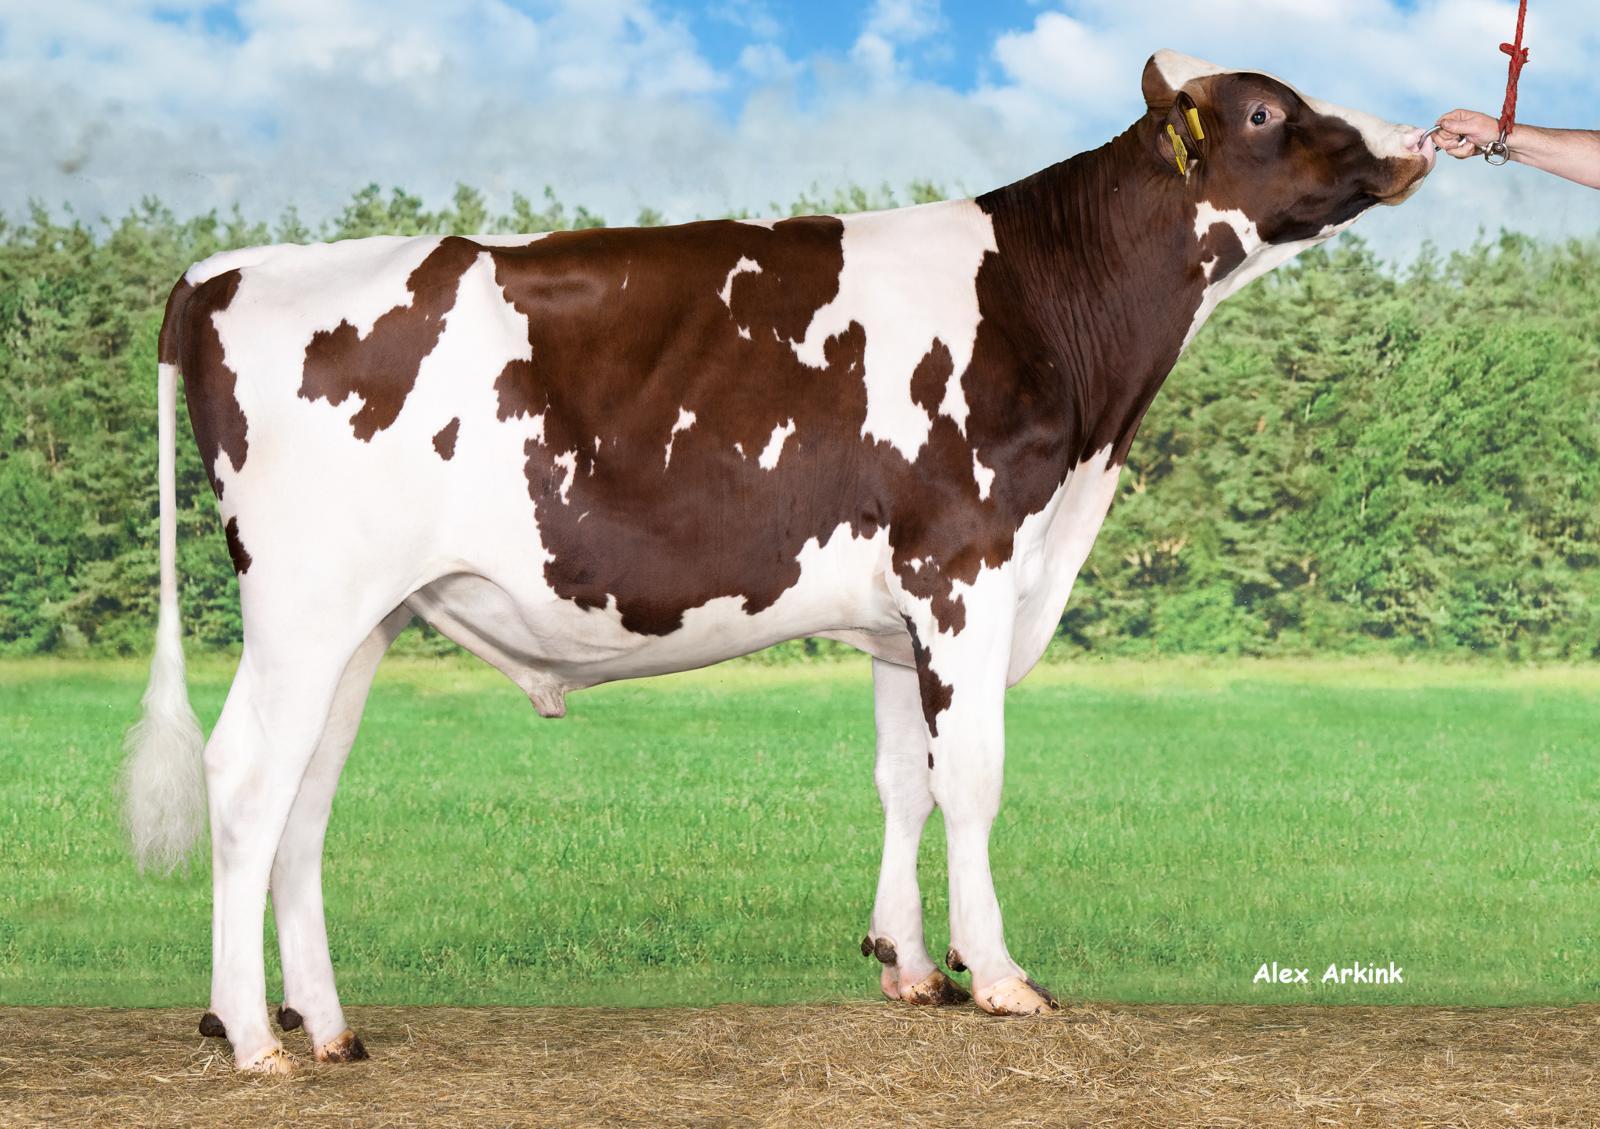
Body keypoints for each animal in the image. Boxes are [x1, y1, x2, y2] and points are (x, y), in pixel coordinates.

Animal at [123, 51, 1437, 1073]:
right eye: (1264, 113)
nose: (1415, 139)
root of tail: (225, 268)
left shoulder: (903, 614)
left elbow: (904, 777)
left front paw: (908, 964)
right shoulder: (965, 569)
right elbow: (972, 779)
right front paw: (997, 974)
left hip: (365, 617)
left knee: (304, 799)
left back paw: (328, 1027)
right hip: (303, 602)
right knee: (246, 776)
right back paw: (251, 1036)